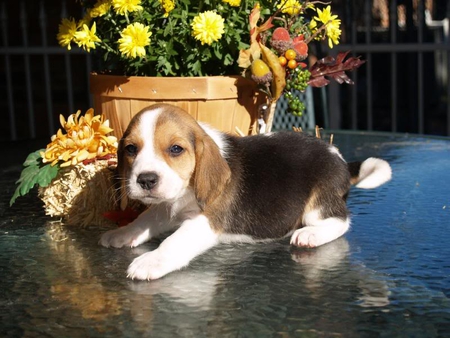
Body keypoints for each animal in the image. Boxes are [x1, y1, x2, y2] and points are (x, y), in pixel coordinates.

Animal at [98, 103, 390, 280]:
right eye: (131, 149)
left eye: (176, 149)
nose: (146, 180)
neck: (185, 194)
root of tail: (339, 158)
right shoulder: (165, 206)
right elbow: (144, 219)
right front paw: (123, 233)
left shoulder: (205, 222)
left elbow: (174, 241)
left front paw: (151, 261)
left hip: (317, 205)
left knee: (341, 221)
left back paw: (311, 235)